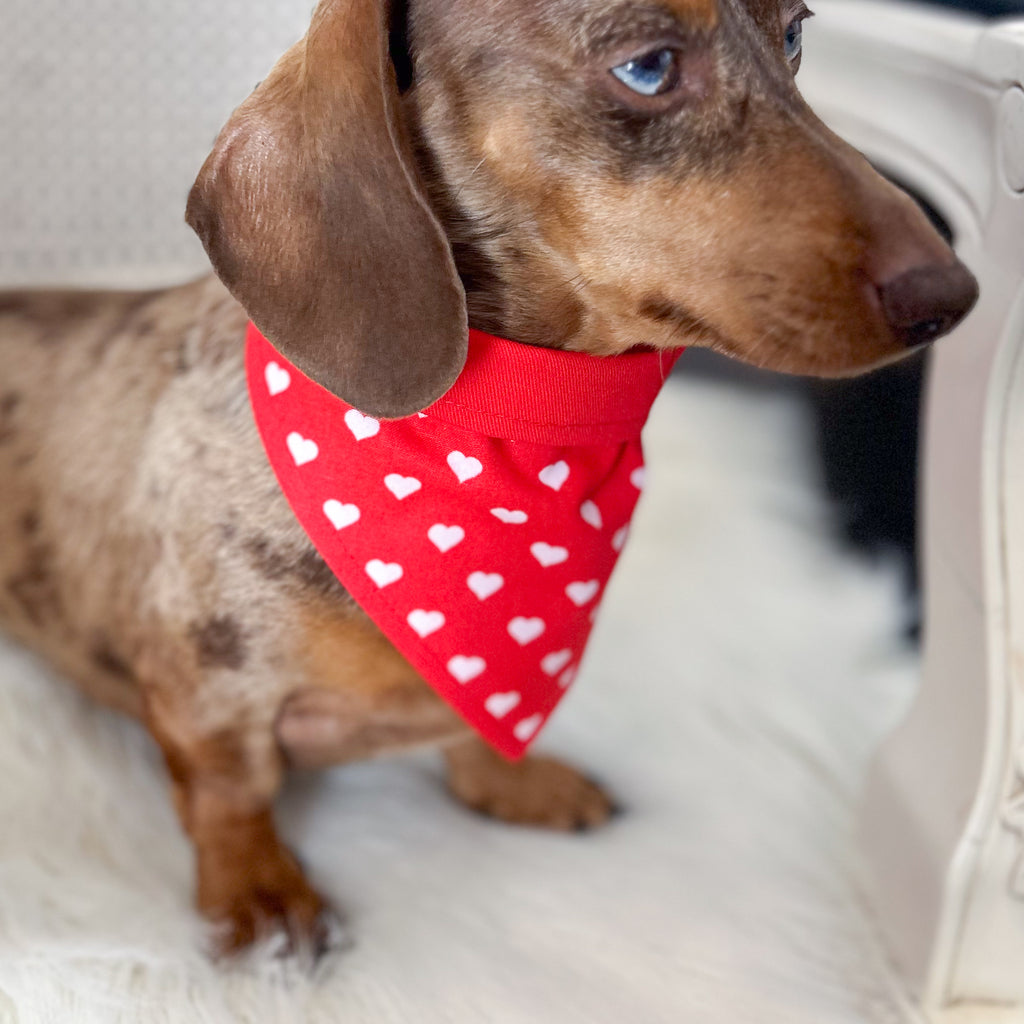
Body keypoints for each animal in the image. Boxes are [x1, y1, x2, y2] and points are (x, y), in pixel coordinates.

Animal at [0, 0, 974, 958]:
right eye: (649, 66)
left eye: (797, 34)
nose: (957, 295)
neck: (511, 425)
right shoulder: (207, 692)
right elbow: (229, 791)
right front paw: (262, 897)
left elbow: (476, 735)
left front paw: (518, 781)